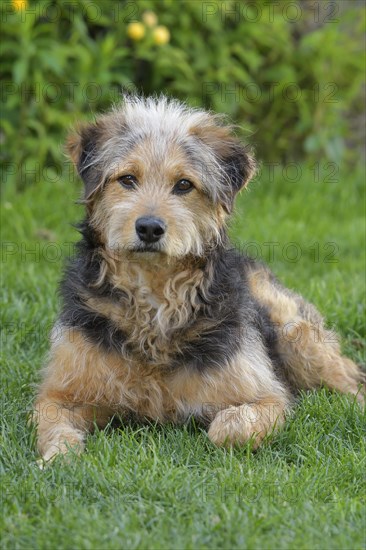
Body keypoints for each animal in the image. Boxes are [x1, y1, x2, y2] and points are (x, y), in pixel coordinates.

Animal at [33, 97, 364, 464]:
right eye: (127, 179)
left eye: (184, 185)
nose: (149, 228)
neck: (155, 297)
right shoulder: (59, 393)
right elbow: (54, 428)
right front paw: (56, 459)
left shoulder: (267, 396)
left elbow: (230, 427)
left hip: (297, 335)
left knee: (350, 379)